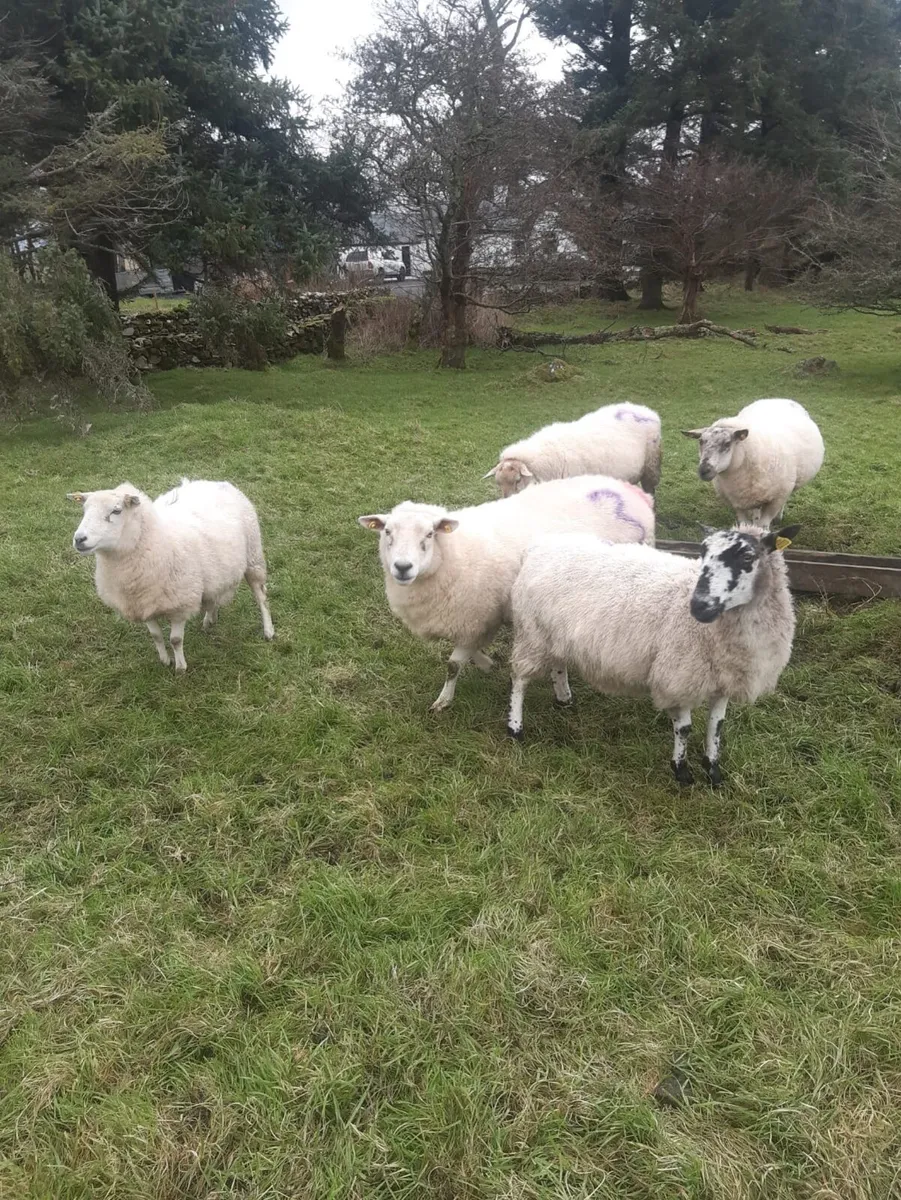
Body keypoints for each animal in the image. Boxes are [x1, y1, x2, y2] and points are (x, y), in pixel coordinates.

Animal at [68, 478, 274, 670]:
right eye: (84, 510)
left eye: (116, 511)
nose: (79, 539)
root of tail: (216, 482)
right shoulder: (143, 604)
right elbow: (156, 636)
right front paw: (165, 660)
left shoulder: (180, 604)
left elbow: (175, 640)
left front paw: (180, 668)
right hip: (216, 571)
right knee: (213, 596)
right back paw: (209, 620)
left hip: (253, 556)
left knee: (261, 596)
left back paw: (268, 631)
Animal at [358, 474, 655, 711]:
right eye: (387, 531)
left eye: (430, 534)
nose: (402, 567)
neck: (454, 553)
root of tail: (629, 490)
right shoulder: (480, 618)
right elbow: (471, 650)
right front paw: (486, 663)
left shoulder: (475, 616)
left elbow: (453, 665)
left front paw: (443, 700)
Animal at [506, 522, 800, 786]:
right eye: (703, 552)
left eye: (748, 557)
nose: (699, 606)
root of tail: (539, 546)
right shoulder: (677, 675)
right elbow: (684, 728)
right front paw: (681, 772)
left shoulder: (724, 678)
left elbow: (716, 726)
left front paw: (713, 771)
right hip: (531, 633)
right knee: (519, 679)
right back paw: (515, 727)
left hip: (554, 634)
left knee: (558, 664)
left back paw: (564, 698)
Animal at [682, 397, 824, 527]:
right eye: (701, 441)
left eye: (727, 443)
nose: (703, 470)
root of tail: (778, 399)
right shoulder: (736, 502)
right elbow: (744, 524)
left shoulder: (777, 499)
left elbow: (763, 525)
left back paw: (778, 518)